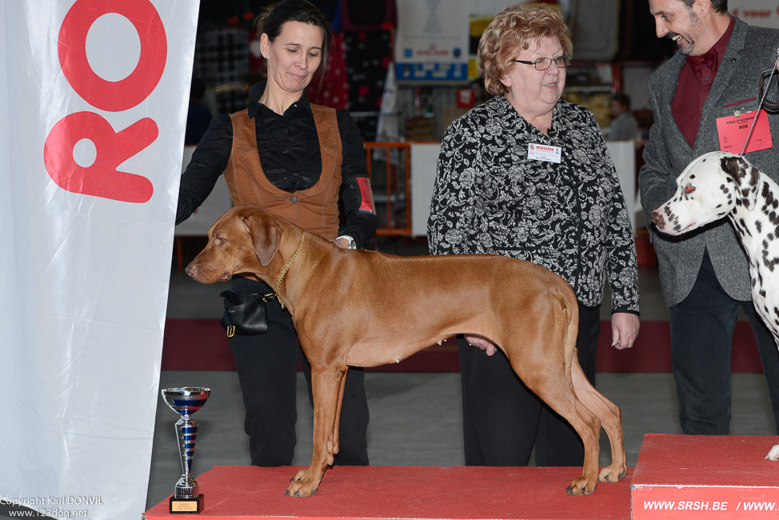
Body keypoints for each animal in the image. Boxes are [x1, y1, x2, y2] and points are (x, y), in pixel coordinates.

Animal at [184, 205, 628, 498]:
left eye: (219, 239)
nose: (188, 270)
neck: (305, 266)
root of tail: (555, 281)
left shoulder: (323, 368)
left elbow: (315, 433)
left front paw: (308, 482)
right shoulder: (338, 370)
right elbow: (330, 435)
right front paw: (321, 470)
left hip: (536, 367)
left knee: (588, 421)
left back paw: (586, 480)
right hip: (560, 363)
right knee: (608, 409)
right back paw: (614, 470)